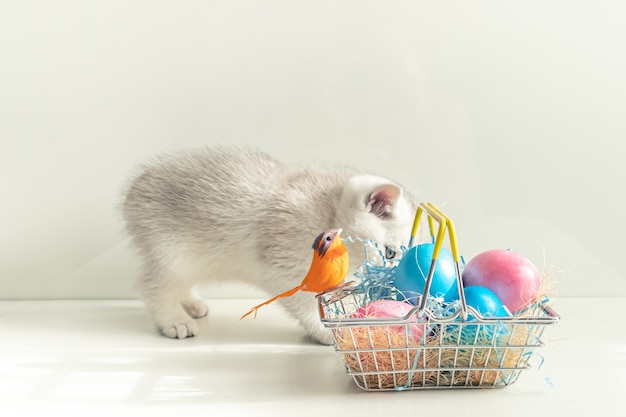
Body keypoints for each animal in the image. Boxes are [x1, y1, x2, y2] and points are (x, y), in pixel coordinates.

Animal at [119, 147, 416, 344]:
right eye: (390, 252)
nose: (395, 282)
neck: (326, 209)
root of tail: (135, 187)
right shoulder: (282, 264)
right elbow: (304, 302)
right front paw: (327, 332)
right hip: (171, 251)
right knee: (152, 284)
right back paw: (174, 319)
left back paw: (191, 303)